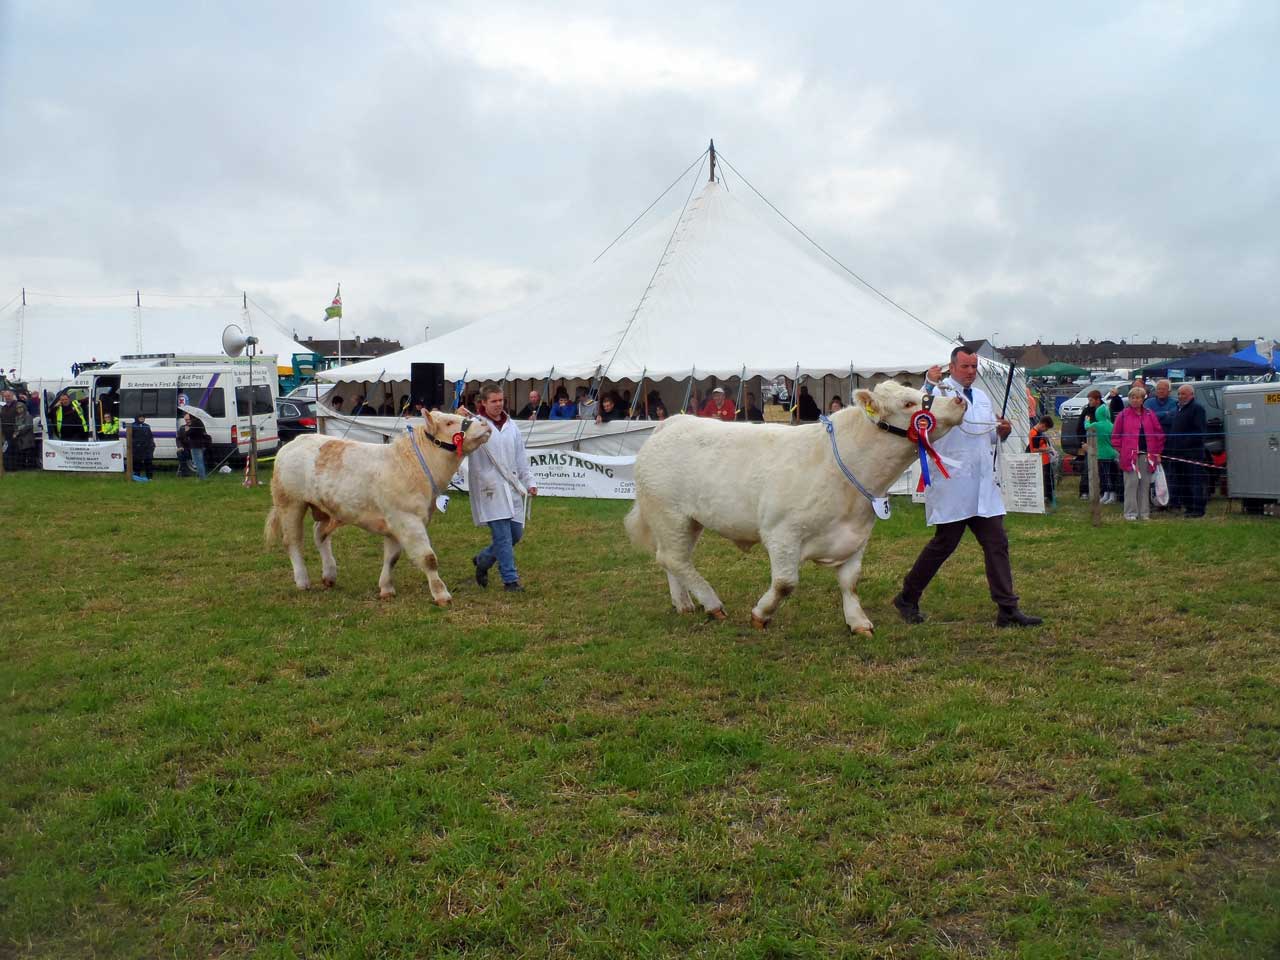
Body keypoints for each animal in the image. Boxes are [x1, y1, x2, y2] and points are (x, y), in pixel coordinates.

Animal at [264, 412, 488, 604]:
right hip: (290, 503)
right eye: (449, 422)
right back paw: (303, 581)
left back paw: (329, 575)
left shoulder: (395, 522)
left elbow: (392, 558)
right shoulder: (407, 519)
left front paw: (386, 589)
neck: (413, 465)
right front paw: (442, 594)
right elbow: (428, 558)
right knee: (292, 541)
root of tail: (294, 442)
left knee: (320, 534)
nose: (485, 423)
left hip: (329, 508)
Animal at [624, 378, 962, 634]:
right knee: (675, 559)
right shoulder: (782, 533)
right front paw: (760, 615)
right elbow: (786, 583)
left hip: (687, 520)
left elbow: (850, 582)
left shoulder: (856, 536)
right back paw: (712, 604)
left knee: (671, 558)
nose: (959, 401)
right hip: (669, 513)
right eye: (907, 403)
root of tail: (672, 423)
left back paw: (684, 604)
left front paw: (858, 622)